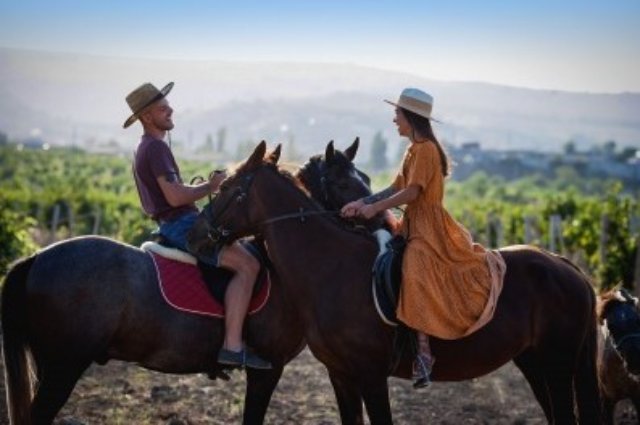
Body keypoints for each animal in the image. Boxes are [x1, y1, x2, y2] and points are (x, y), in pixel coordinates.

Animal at [189, 142, 600, 424]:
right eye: (343, 181)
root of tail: (568, 268)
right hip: (535, 361)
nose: (196, 235)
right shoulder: (341, 374)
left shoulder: (370, 375)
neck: (331, 267)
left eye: (227, 190)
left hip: (557, 363)